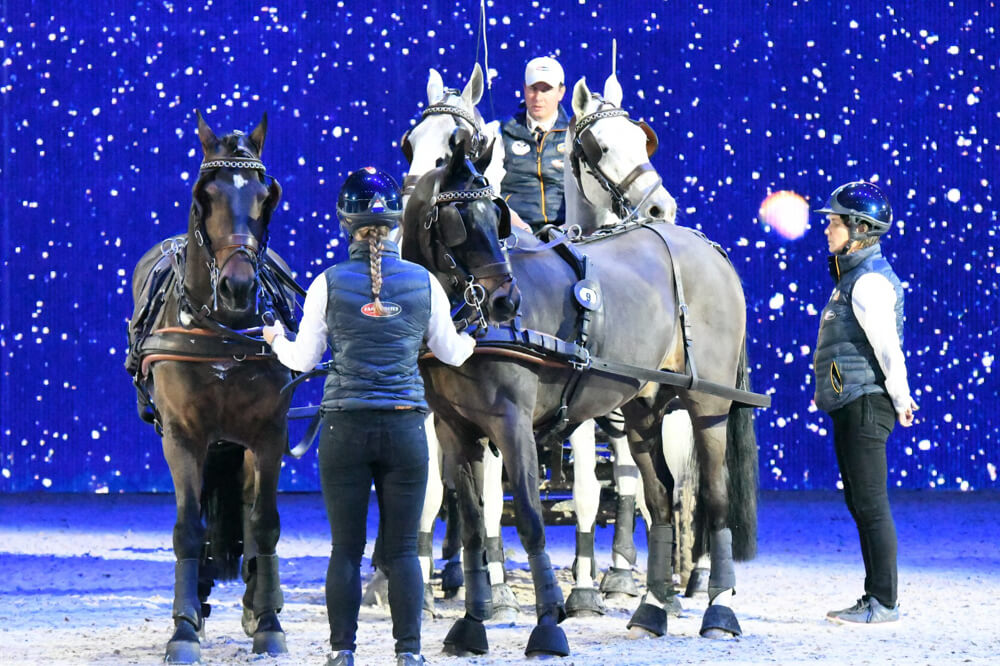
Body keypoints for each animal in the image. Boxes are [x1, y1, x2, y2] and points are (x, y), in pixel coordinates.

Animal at [126, 111, 299, 663]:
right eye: (205, 194)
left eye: (268, 195)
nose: (238, 287)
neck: (222, 330)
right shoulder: (182, 436)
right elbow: (188, 528)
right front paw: (183, 629)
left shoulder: (268, 435)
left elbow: (264, 522)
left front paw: (268, 621)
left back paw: (257, 601)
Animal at [402, 90, 765, 654]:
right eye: (459, 219)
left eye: (495, 216)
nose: (506, 301)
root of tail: (705, 245)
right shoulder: (453, 427)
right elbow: (472, 522)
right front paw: (473, 623)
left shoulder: (513, 423)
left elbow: (533, 516)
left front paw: (551, 620)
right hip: (642, 408)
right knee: (659, 498)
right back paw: (653, 608)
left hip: (707, 405)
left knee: (711, 497)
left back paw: (718, 606)